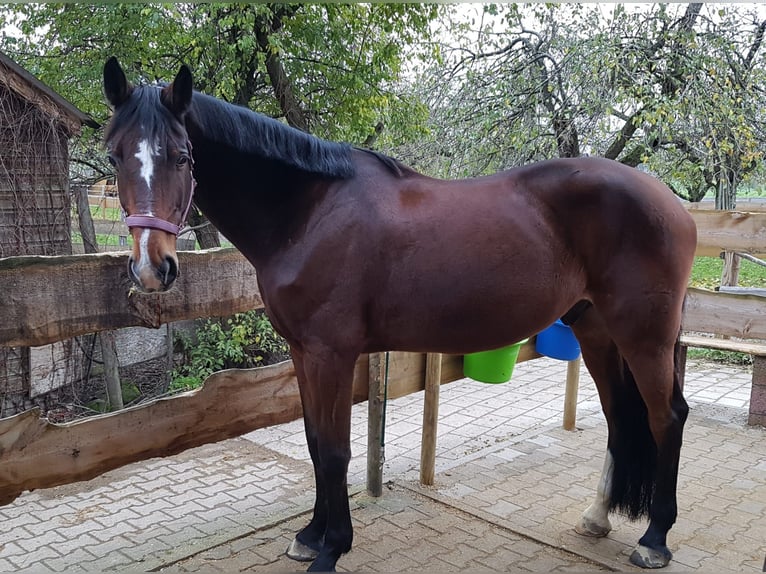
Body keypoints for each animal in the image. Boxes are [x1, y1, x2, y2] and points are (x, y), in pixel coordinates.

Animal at [105, 57, 700, 572]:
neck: (309, 211)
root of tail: (672, 203)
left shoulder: (332, 355)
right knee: (621, 416)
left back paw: (654, 539)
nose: (153, 268)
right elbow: (314, 443)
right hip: (595, 329)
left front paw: (332, 548)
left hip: (643, 337)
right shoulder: (303, 352)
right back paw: (598, 517)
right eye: (114, 156)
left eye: (182, 156)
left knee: (665, 416)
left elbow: (335, 450)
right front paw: (310, 536)